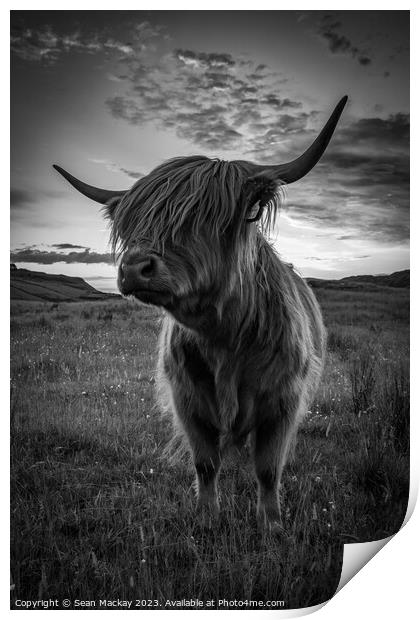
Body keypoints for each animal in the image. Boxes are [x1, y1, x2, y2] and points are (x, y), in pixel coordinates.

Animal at [53, 94, 348, 532]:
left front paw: (271, 524)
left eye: (202, 216)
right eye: (134, 222)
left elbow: (268, 469)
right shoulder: (187, 400)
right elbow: (206, 463)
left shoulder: (283, 402)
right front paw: (207, 518)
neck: (224, 337)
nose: (133, 267)